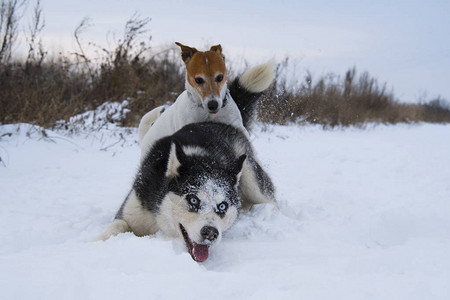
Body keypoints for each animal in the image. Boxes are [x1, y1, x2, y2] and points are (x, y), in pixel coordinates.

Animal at [96, 122, 276, 262]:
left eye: (222, 206)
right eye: (193, 200)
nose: (211, 233)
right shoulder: (134, 209)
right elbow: (118, 225)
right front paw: (96, 242)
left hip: (251, 178)